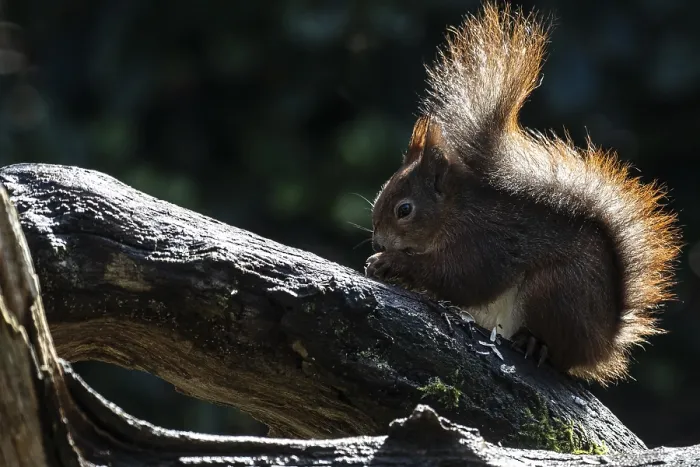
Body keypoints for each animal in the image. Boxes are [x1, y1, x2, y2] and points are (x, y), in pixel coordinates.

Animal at [364, 2, 681, 385]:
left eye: (404, 210)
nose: (378, 241)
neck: (455, 214)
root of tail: (604, 342)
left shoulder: (487, 242)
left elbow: (460, 278)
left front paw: (390, 263)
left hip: (555, 291)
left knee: (559, 351)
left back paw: (535, 343)